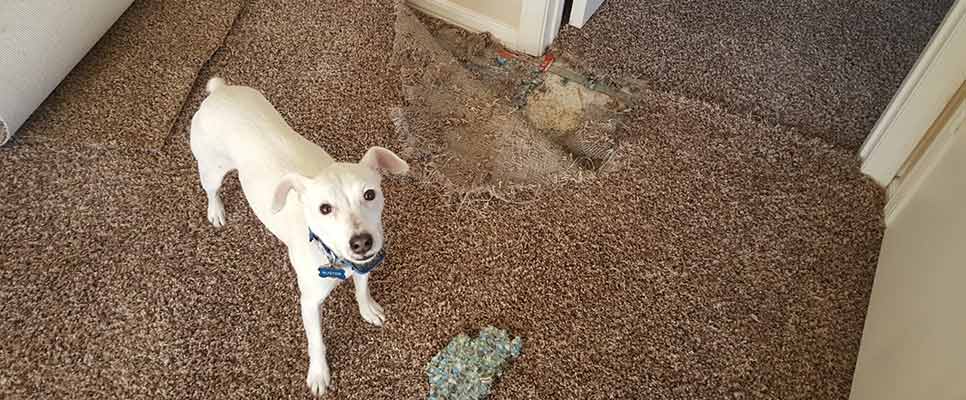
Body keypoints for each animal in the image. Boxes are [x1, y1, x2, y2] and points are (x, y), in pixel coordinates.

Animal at [191, 76, 410, 396]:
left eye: (370, 194)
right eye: (324, 208)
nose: (361, 242)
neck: (334, 258)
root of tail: (219, 92)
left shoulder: (363, 266)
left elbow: (362, 289)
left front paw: (367, 309)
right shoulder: (309, 303)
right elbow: (316, 342)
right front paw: (319, 375)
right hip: (211, 170)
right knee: (211, 190)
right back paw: (216, 210)